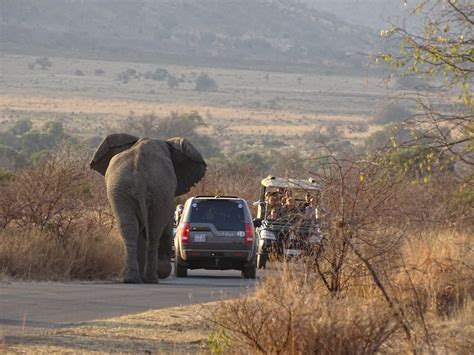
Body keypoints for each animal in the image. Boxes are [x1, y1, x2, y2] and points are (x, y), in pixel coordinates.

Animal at [90, 134, 206, 284]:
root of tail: (139, 176)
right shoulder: (169, 193)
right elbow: (166, 226)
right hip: (155, 190)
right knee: (154, 229)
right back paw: (152, 278)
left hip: (121, 189)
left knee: (130, 228)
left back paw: (132, 279)